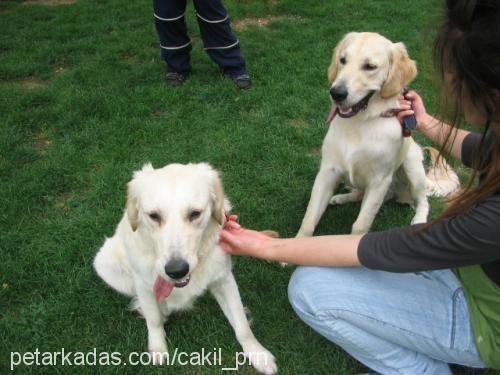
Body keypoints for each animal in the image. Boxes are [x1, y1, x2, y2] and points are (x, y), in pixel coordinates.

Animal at [94, 162, 278, 375]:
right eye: (154, 216)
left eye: (195, 214)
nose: (177, 270)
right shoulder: (143, 284)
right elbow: (153, 320)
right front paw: (158, 349)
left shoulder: (224, 279)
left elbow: (242, 325)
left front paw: (258, 354)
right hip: (105, 264)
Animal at [296, 33, 458, 238]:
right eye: (342, 60)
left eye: (370, 66)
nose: (336, 93)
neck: (360, 123)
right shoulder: (327, 170)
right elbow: (309, 219)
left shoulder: (379, 181)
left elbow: (361, 225)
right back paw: (340, 197)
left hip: (412, 166)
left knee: (422, 201)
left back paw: (419, 220)